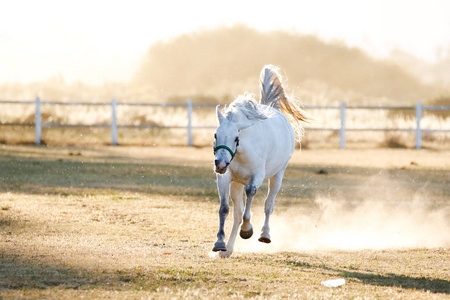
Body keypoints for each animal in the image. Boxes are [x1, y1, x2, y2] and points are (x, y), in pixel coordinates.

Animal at [212, 64, 310, 256]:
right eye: (215, 135)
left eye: (236, 137)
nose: (220, 164)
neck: (243, 151)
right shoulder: (225, 178)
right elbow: (225, 209)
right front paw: (219, 243)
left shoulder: (256, 176)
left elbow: (251, 195)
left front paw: (247, 230)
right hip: (236, 183)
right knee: (237, 214)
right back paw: (228, 249)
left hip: (278, 175)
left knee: (268, 205)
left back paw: (265, 235)